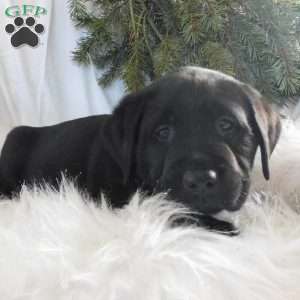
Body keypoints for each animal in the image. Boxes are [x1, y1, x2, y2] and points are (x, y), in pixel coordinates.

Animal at [0, 67, 282, 234]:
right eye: (163, 132)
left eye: (226, 125)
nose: (201, 179)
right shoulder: (140, 205)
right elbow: (190, 216)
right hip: (15, 143)